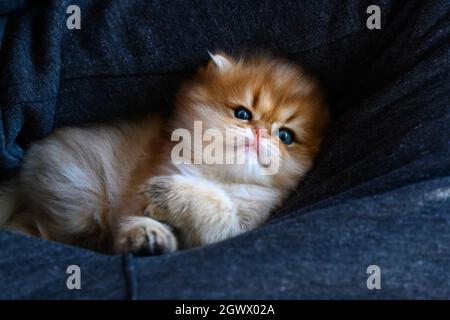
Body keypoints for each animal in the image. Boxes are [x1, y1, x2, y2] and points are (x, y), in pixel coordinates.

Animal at [0, 52, 330, 255]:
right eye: (242, 114)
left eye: (285, 136)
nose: (260, 133)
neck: (221, 176)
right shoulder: (139, 188)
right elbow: (131, 218)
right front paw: (147, 234)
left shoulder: (241, 225)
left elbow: (218, 211)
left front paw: (173, 196)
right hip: (78, 197)